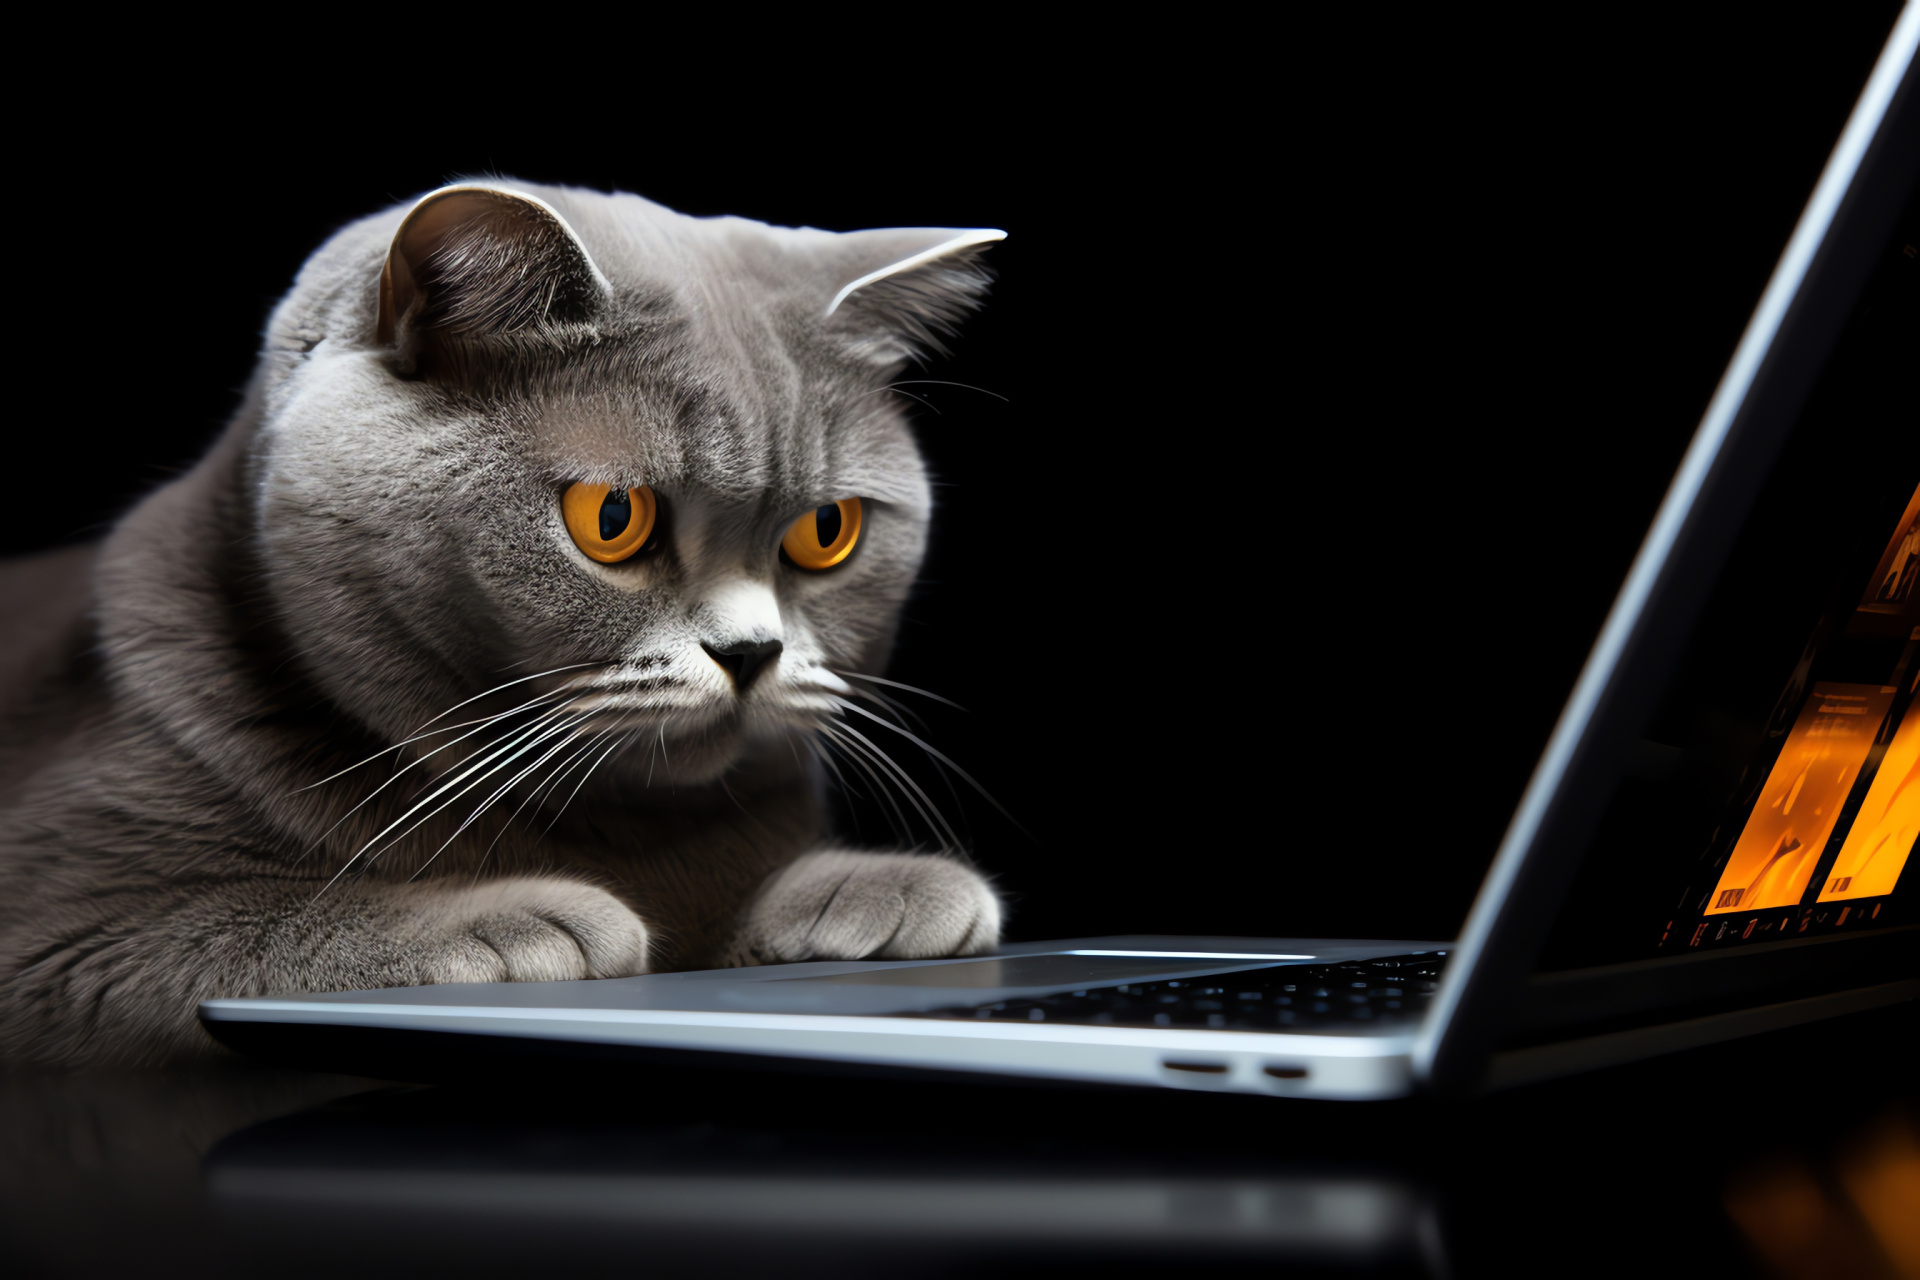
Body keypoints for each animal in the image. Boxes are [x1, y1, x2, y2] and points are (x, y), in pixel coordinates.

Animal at [0, 177, 1013, 1059]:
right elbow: (227, 922)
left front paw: (867, 888)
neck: (619, 837)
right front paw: (517, 919)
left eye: (826, 531)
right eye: (612, 517)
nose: (752, 650)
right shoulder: (52, 936)